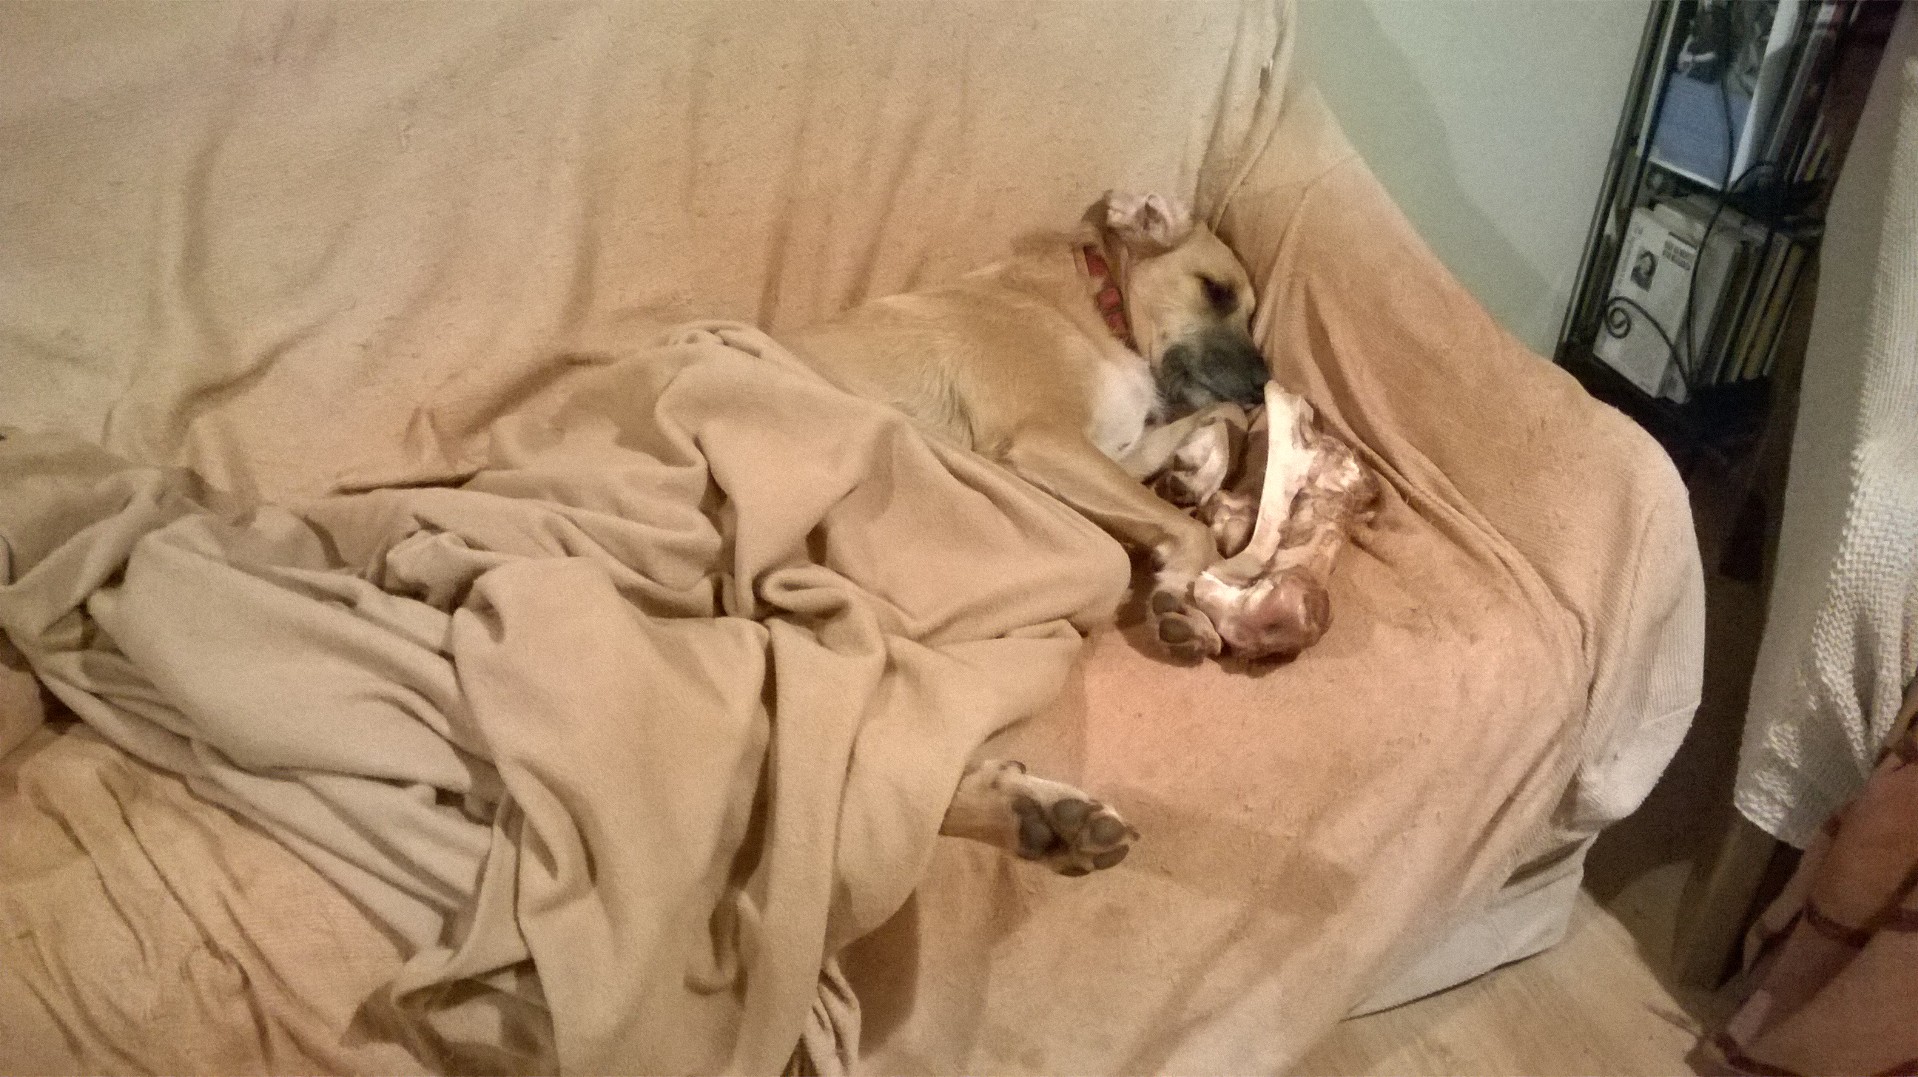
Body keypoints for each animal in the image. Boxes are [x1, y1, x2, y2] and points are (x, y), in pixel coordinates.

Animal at [784, 192, 1269, 874]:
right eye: (1217, 291)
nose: (1264, 384)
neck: (1097, 308)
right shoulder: (1047, 441)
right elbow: (1186, 530)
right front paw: (1177, 595)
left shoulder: (1113, 455)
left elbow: (1217, 421)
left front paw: (1199, 470)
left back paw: (1039, 819)